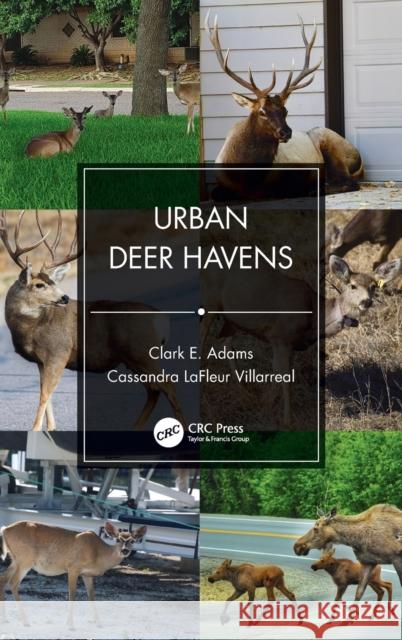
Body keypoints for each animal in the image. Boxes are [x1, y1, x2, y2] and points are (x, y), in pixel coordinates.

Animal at [0, 210, 185, 431]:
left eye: (53, 282)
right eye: (39, 285)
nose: (64, 297)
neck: (30, 328)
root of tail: (161, 317)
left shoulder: (59, 351)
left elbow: (44, 395)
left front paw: (36, 430)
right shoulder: (41, 360)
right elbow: (47, 395)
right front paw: (51, 428)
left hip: (142, 352)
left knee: (168, 385)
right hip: (132, 359)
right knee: (154, 389)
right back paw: (134, 428)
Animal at [0, 520, 147, 602]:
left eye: (132, 541)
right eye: (118, 539)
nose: (125, 550)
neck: (98, 554)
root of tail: (5, 529)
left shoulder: (87, 575)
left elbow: (92, 596)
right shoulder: (73, 568)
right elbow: (72, 595)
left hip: (15, 560)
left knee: (3, 579)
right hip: (25, 559)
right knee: (13, 583)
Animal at [200, 253, 401, 426]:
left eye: (373, 287)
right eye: (352, 285)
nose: (366, 302)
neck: (315, 316)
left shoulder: (289, 343)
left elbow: (280, 371)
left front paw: (267, 401)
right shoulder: (280, 336)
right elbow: (284, 376)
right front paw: (287, 419)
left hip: (233, 320)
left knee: (225, 344)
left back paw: (244, 391)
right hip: (210, 302)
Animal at [204, 13, 363, 197]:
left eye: (285, 110)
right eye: (262, 111)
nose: (286, 132)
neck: (247, 178)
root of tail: (359, 156)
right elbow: (215, 193)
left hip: (332, 146)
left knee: (349, 181)